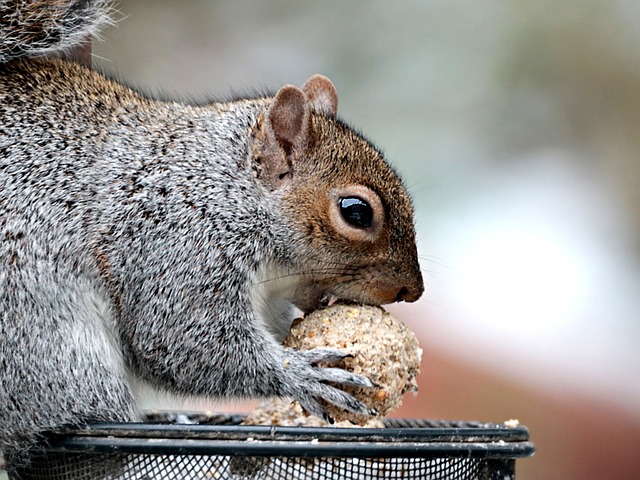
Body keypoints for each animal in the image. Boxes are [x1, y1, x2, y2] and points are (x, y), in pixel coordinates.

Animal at [1, 0, 424, 468]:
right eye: (357, 212)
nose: (412, 291)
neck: (227, 188)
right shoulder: (174, 243)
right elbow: (181, 338)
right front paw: (301, 375)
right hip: (46, 339)